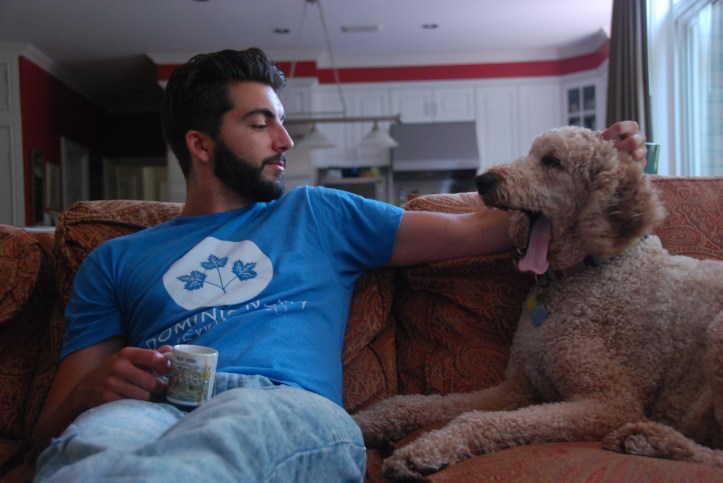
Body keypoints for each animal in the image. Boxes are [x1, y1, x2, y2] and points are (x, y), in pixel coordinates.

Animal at [353, 126, 723, 480]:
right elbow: (419, 404)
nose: (483, 180)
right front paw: (366, 422)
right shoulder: (517, 389)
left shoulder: (610, 402)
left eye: (552, 162)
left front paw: (424, 451)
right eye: (531, 154)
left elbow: (476, 419)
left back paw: (651, 438)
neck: (581, 275)